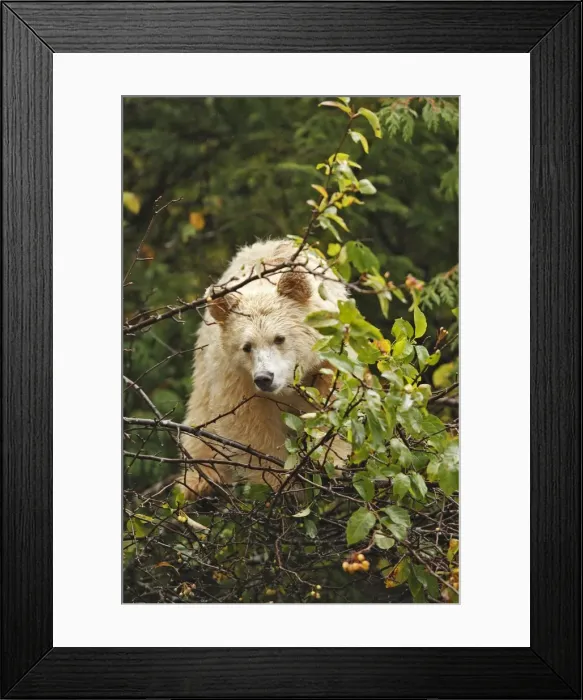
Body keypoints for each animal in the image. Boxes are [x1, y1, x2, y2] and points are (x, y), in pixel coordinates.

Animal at [179, 238, 349, 498]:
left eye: (279, 338)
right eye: (246, 347)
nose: (264, 378)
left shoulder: (329, 354)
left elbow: (336, 396)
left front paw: (332, 460)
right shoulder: (236, 375)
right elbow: (249, 423)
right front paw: (281, 481)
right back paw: (200, 482)